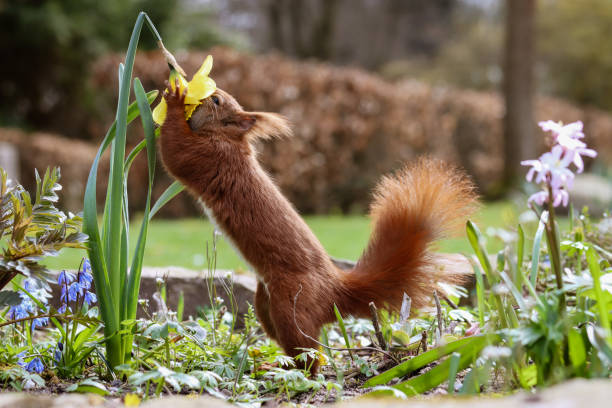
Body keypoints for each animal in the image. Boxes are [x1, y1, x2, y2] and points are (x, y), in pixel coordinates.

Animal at [160, 83, 480, 372]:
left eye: (216, 100)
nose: (202, 92)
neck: (229, 138)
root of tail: (334, 291)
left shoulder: (207, 156)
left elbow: (175, 153)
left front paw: (172, 97)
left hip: (291, 305)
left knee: (309, 354)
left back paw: (295, 375)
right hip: (265, 304)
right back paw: (274, 366)